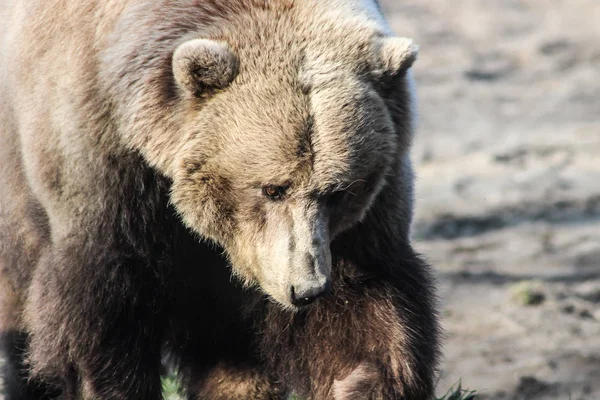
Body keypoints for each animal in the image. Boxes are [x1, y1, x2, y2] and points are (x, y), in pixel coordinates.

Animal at [0, 0, 440, 400]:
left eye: (339, 191)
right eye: (272, 188)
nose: (306, 289)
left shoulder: (359, 221)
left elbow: (366, 304)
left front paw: (361, 382)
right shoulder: (103, 160)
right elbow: (100, 309)